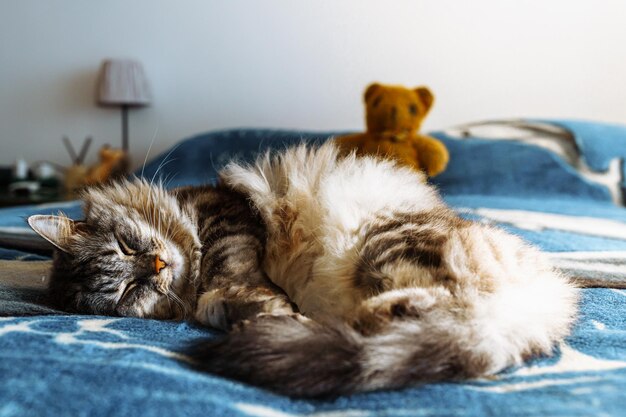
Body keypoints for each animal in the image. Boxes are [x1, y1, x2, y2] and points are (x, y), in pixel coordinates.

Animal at [28, 142, 576, 396]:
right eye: (125, 293)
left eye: (125, 245)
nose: (156, 265)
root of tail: (550, 296)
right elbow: (214, 304)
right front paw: (258, 313)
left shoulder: (229, 222)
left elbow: (230, 274)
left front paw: (264, 306)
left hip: (384, 246)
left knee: (454, 305)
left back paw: (352, 319)